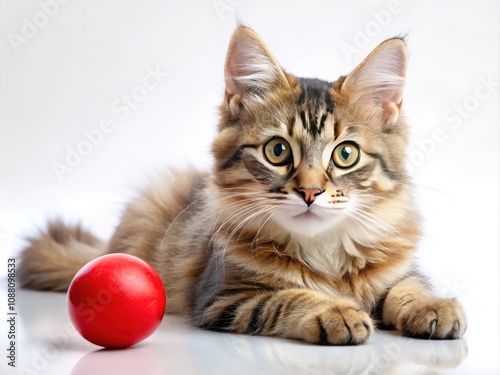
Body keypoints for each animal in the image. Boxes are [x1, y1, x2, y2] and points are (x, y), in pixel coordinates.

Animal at [17, 25, 466, 344]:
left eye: (345, 155)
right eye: (278, 151)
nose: (310, 192)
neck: (323, 251)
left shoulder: (400, 267)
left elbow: (409, 287)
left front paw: (435, 307)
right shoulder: (224, 298)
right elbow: (289, 297)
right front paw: (335, 311)